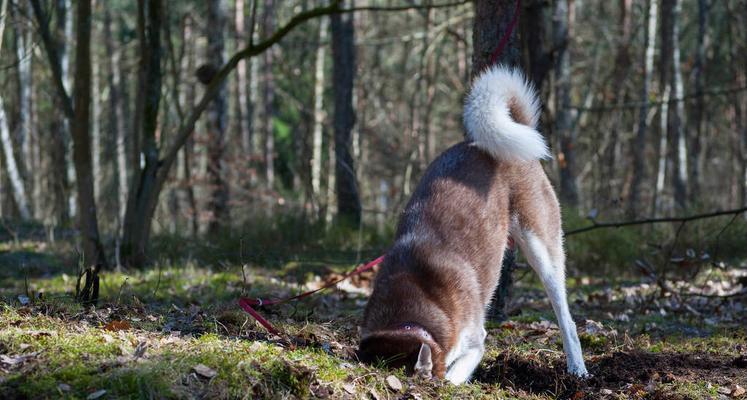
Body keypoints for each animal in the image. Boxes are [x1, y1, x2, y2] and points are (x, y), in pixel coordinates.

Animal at [358, 65, 592, 384]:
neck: (408, 311)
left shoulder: (474, 340)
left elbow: (452, 374)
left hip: (542, 249)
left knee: (566, 319)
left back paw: (577, 368)